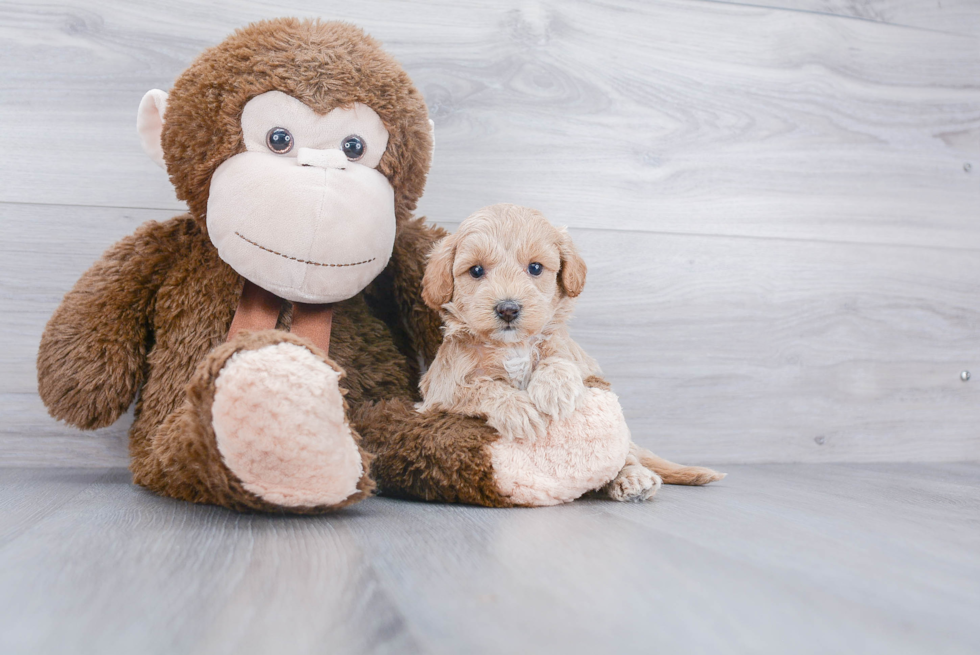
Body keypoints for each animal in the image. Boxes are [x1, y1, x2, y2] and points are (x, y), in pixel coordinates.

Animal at [418, 205, 724, 502]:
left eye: (535, 268)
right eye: (476, 271)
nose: (508, 309)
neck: (513, 345)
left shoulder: (578, 358)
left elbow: (560, 357)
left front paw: (556, 389)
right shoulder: (441, 388)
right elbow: (479, 388)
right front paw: (518, 410)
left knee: (626, 456)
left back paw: (632, 478)